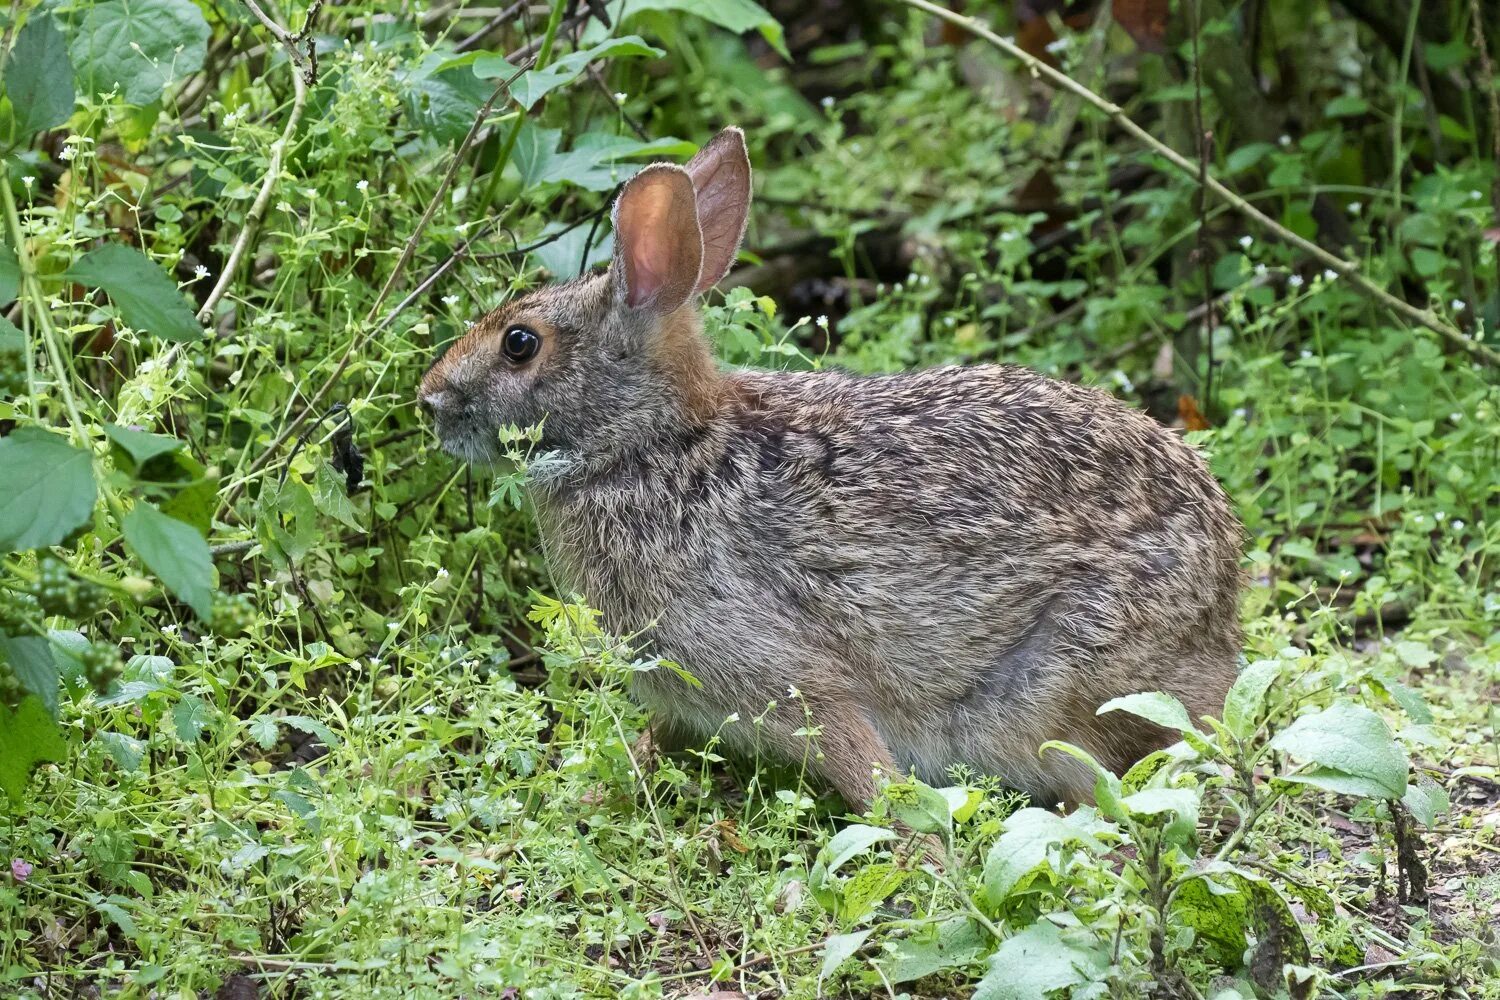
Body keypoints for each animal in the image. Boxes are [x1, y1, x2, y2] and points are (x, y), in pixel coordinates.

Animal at [423, 127, 1242, 815]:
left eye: (520, 343)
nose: (429, 400)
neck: (655, 444)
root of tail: (1222, 609)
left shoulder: (790, 678)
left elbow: (864, 769)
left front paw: (919, 850)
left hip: (1047, 694)